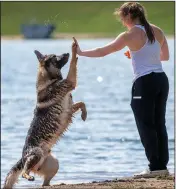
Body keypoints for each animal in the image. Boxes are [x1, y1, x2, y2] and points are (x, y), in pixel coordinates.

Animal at [3, 39, 87, 188]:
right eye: (54, 57)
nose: (65, 53)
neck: (50, 80)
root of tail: (23, 159)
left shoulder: (69, 108)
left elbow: (82, 103)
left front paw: (84, 114)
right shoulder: (70, 82)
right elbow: (73, 64)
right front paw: (74, 50)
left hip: (54, 163)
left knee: (44, 183)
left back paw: (54, 184)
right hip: (36, 154)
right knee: (24, 172)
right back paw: (28, 176)